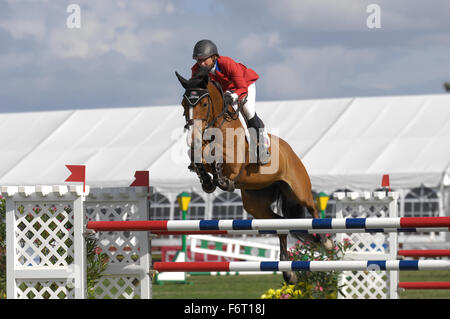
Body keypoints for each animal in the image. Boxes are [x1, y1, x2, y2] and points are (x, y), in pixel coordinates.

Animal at [176, 67, 334, 282]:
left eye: (204, 103)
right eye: (184, 104)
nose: (193, 135)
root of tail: (290, 152)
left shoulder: (234, 161)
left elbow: (220, 158)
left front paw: (220, 176)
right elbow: (197, 156)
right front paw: (207, 180)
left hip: (298, 190)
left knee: (313, 209)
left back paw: (326, 242)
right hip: (256, 204)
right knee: (280, 223)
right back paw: (288, 271)